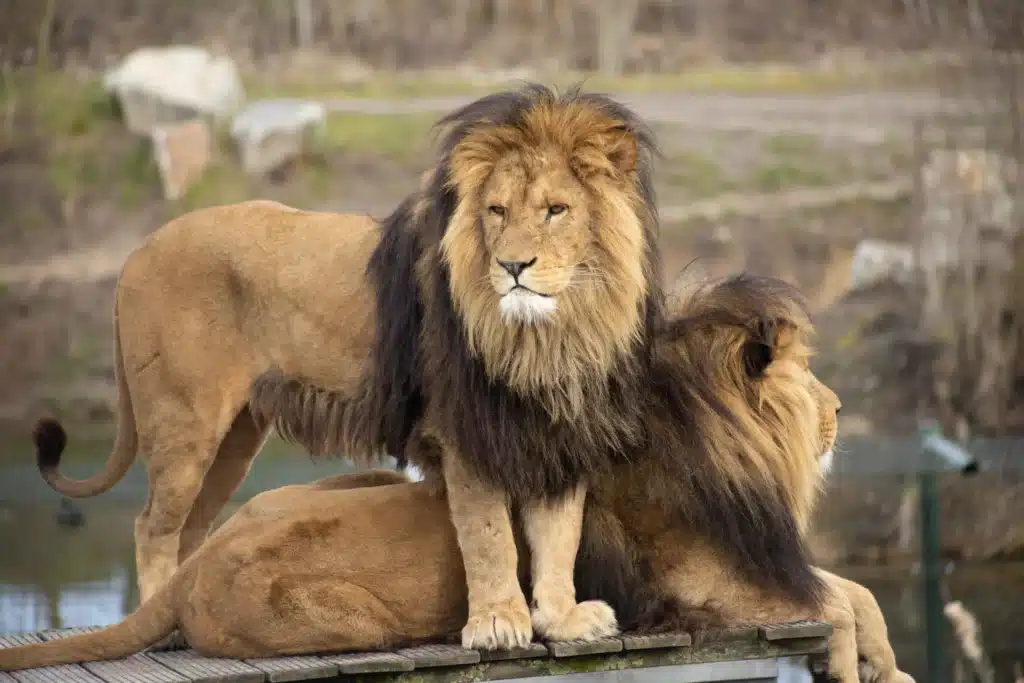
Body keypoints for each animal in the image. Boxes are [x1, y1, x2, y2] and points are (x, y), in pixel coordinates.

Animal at [3, 275, 912, 683]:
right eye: (809, 378)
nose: (840, 409)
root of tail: (197, 568)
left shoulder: (752, 561)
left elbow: (856, 592)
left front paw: (885, 661)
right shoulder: (701, 584)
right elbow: (832, 605)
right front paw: (855, 667)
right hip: (346, 622)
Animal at [35, 84, 664, 649]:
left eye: (556, 210)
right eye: (496, 211)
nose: (512, 266)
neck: (548, 336)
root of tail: (135, 253)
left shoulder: (559, 431)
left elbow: (559, 537)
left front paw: (563, 620)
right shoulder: (464, 434)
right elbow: (489, 536)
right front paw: (497, 624)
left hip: (233, 439)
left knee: (191, 526)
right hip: (184, 423)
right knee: (153, 526)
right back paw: (156, 629)